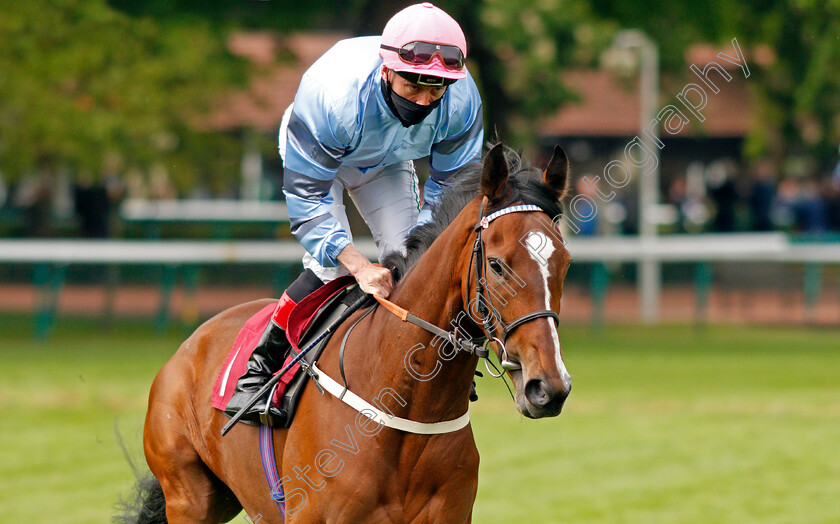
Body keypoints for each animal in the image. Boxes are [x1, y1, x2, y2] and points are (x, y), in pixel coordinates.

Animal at [121, 141, 576, 520]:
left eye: (565, 262)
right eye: (497, 265)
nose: (548, 386)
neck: (406, 407)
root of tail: (187, 346)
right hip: (189, 496)